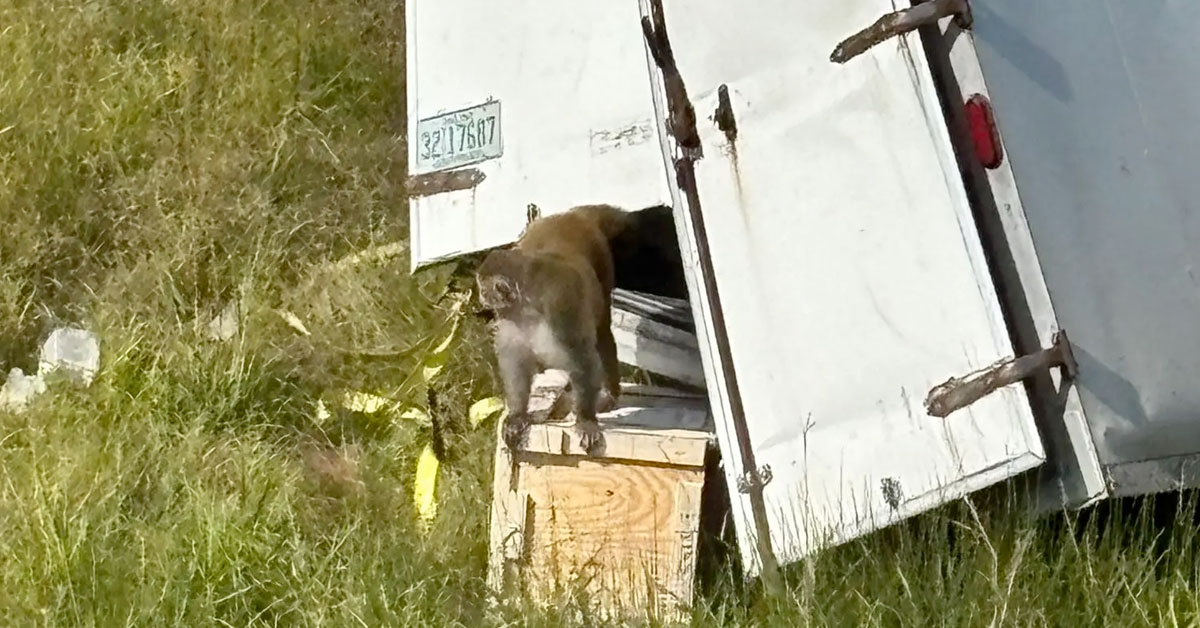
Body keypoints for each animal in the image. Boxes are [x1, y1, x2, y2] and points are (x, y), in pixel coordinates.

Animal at [476, 204, 634, 454]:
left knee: (601, 332)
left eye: (484, 289)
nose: (481, 297)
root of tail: (571, 215)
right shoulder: (510, 320)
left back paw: (609, 394)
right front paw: (518, 414)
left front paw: (585, 420)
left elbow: (582, 358)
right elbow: (516, 362)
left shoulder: (561, 306)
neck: (527, 306)